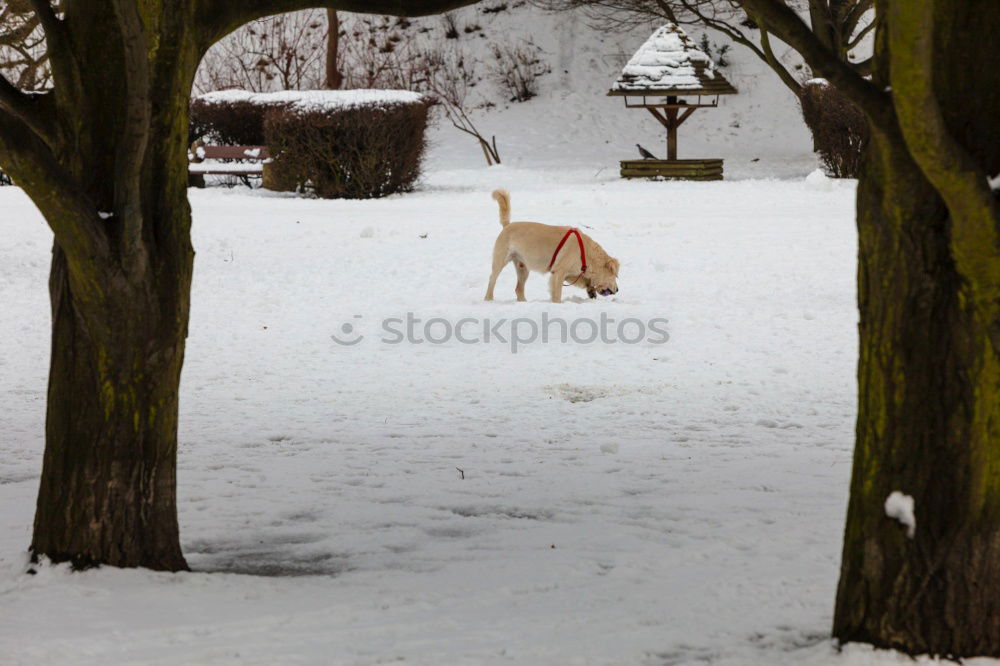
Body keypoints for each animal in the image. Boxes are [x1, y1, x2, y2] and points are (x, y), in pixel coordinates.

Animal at [484, 189, 616, 304]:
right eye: (615, 276)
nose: (618, 290)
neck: (584, 251)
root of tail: (507, 225)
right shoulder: (559, 272)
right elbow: (557, 293)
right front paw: (557, 304)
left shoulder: (570, 274)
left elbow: (585, 281)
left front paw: (591, 290)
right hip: (500, 262)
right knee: (491, 280)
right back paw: (488, 299)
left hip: (523, 268)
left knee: (518, 289)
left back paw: (523, 302)